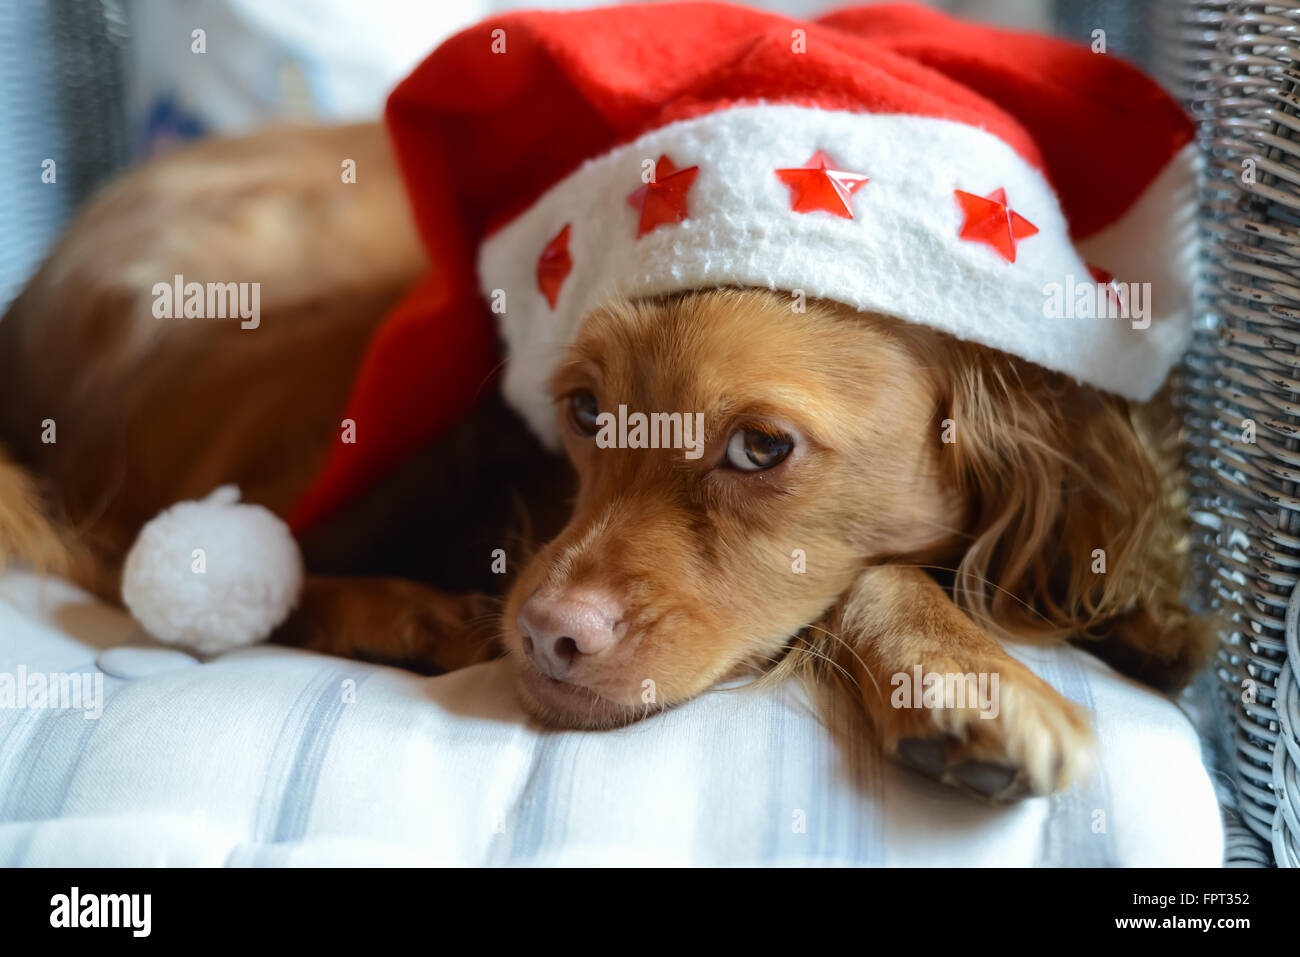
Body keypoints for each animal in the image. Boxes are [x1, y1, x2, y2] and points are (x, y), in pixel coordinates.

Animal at [0, 123, 1206, 806]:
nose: (543, 639)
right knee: (178, 564)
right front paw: (965, 678)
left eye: (761, 447)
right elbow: (880, 572)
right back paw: (410, 615)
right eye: (584, 409)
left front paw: (1138, 615)